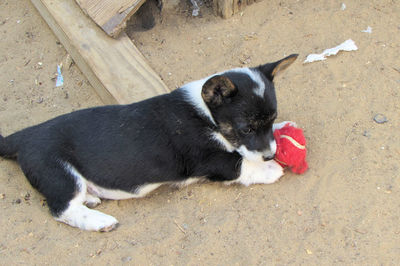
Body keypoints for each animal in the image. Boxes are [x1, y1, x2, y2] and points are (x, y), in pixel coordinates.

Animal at [0, 54, 298, 231]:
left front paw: (285, 129)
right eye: (246, 128)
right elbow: (240, 164)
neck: (206, 114)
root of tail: (23, 136)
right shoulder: (209, 160)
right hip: (59, 173)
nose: (270, 155)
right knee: (62, 208)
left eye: (271, 119)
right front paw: (270, 168)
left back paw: (92, 200)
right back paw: (99, 221)